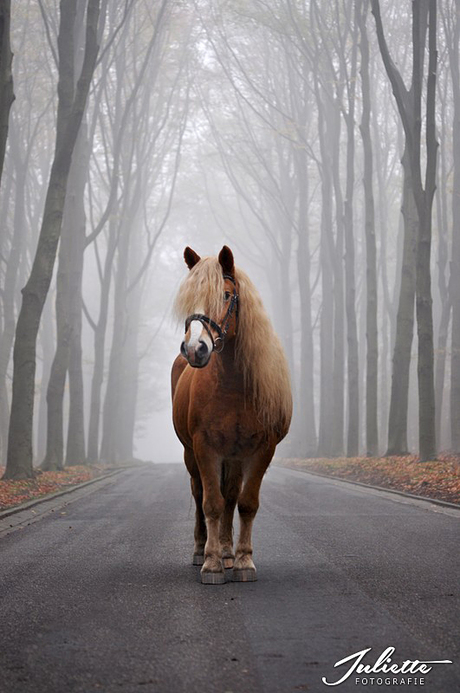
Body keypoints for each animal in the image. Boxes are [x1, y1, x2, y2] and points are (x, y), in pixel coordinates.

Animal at [171, 246, 292, 580]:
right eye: (189, 296)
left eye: (225, 295)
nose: (194, 349)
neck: (236, 385)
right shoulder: (204, 447)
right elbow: (211, 502)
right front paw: (211, 564)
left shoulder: (262, 449)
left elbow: (245, 503)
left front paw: (242, 561)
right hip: (191, 453)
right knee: (200, 492)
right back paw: (203, 550)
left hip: (235, 455)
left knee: (231, 495)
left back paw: (227, 551)